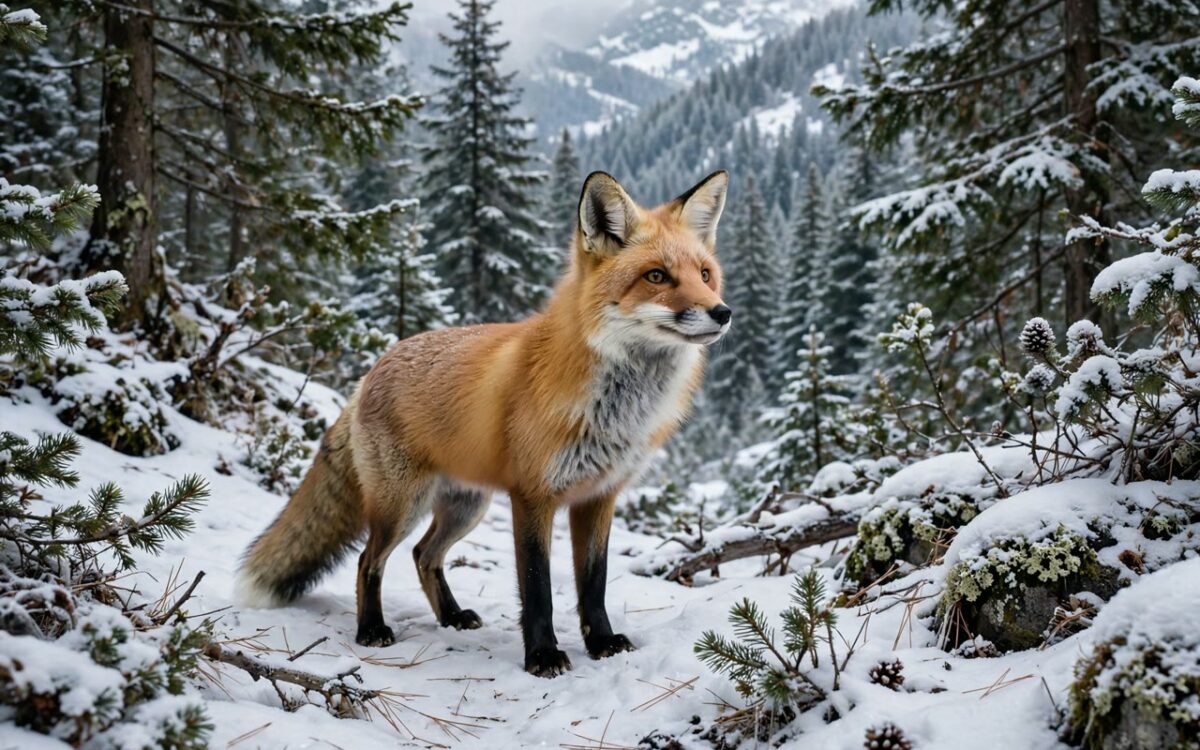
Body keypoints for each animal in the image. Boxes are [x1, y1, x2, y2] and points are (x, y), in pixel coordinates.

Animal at [236, 170, 732, 677]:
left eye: (705, 275)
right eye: (656, 276)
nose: (722, 312)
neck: (615, 408)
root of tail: (374, 368)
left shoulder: (599, 496)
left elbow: (594, 583)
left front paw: (602, 643)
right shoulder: (532, 496)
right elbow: (537, 588)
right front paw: (542, 656)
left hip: (464, 507)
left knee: (423, 556)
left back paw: (452, 617)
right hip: (402, 505)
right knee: (367, 561)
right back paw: (371, 629)